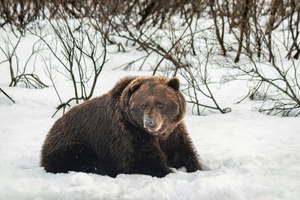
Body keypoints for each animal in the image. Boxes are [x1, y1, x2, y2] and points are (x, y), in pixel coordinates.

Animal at [40, 76, 202, 177]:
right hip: (70, 145)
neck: (157, 135)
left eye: (160, 103)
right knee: (84, 157)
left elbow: (184, 153)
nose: (149, 122)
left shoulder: (173, 133)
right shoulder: (129, 134)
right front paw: (166, 171)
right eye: (143, 105)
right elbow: (142, 161)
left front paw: (194, 168)